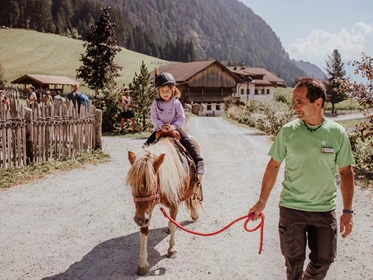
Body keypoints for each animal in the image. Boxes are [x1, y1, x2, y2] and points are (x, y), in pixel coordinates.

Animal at [126, 137, 202, 274]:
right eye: (132, 184)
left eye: (152, 185)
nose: (139, 220)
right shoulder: (146, 211)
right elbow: (144, 231)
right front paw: (143, 264)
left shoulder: (174, 205)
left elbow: (173, 225)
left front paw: (172, 250)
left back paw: (194, 214)